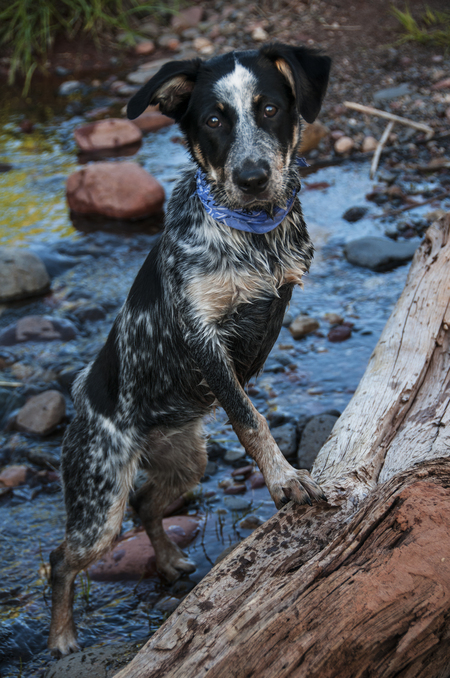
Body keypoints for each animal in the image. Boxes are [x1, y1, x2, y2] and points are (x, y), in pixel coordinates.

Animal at [48, 39, 330, 656]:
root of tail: (81, 400)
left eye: (269, 109)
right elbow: (250, 418)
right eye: (213, 121)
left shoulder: (280, 292)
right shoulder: (202, 336)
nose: (253, 177)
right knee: (62, 556)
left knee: (147, 505)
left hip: (186, 462)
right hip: (98, 501)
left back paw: (171, 558)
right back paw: (61, 636)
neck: (250, 232)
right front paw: (284, 480)